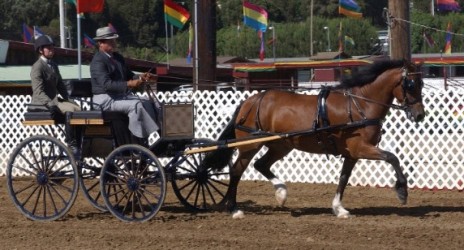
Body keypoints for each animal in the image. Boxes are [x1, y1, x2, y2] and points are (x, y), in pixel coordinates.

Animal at [205, 59, 426, 219]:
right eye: (410, 84)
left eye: (421, 83)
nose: (420, 115)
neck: (360, 104)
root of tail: (249, 101)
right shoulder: (361, 148)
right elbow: (392, 157)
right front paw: (402, 192)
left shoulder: (351, 154)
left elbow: (344, 178)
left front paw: (339, 209)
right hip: (250, 145)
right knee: (236, 170)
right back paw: (234, 209)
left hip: (281, 145)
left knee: (261, 165)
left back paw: (281, 193)